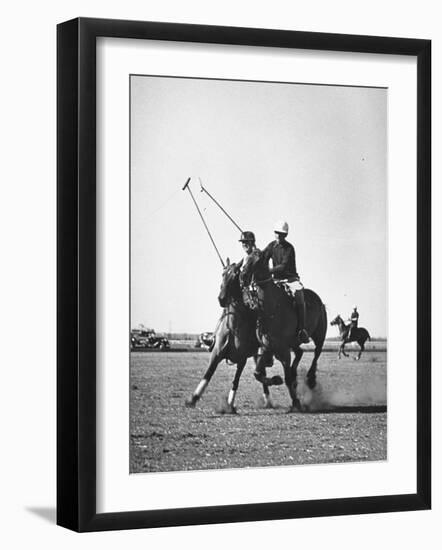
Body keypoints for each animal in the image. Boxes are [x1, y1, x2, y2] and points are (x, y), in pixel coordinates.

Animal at [186, 262, 282, 414]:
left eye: (235, 275)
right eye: (223, 274)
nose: (221, 299)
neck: (234, 327)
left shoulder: (242, 359)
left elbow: (235, 381)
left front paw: (230, 404)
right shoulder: (216, 354)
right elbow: (208, 374)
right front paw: (193, 399)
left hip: (258, 352)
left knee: (261, 372)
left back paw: (269, 398)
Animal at [238, 252, 328, 412]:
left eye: (257, 260)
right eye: (245, 259)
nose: (242, 277)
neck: (271, 308)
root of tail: (319, 300)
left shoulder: (284, 350)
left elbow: (286, 378)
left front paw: (296, 402)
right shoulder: (267, 347)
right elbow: (257, 373)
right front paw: (276, 380)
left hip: (319, 335)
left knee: (317, 352)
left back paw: (310, 379)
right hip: (294, 343)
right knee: (300, 352)